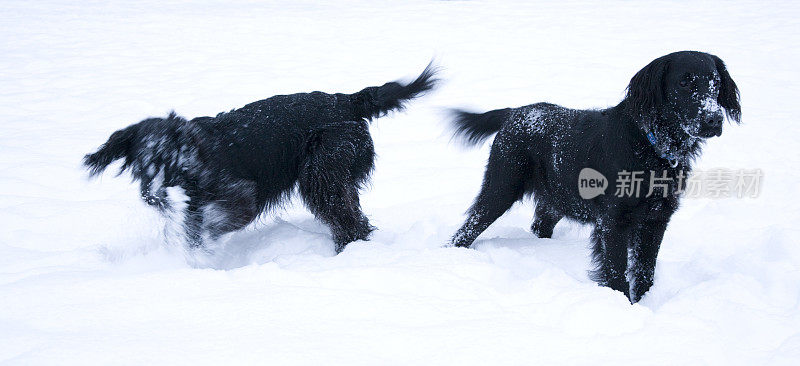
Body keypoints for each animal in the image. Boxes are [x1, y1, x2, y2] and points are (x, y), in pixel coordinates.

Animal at [446, 52, 740, 304]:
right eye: (684, 82)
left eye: (715, 83)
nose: (714, 120)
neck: (649, 144)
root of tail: (514, 112)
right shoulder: (614, 222)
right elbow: (617, 273)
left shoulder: (656, 220)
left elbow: (645, 271)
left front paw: (645, 303)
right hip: (501, 187)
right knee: (466, 230)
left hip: (557, 199)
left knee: (539, 226)